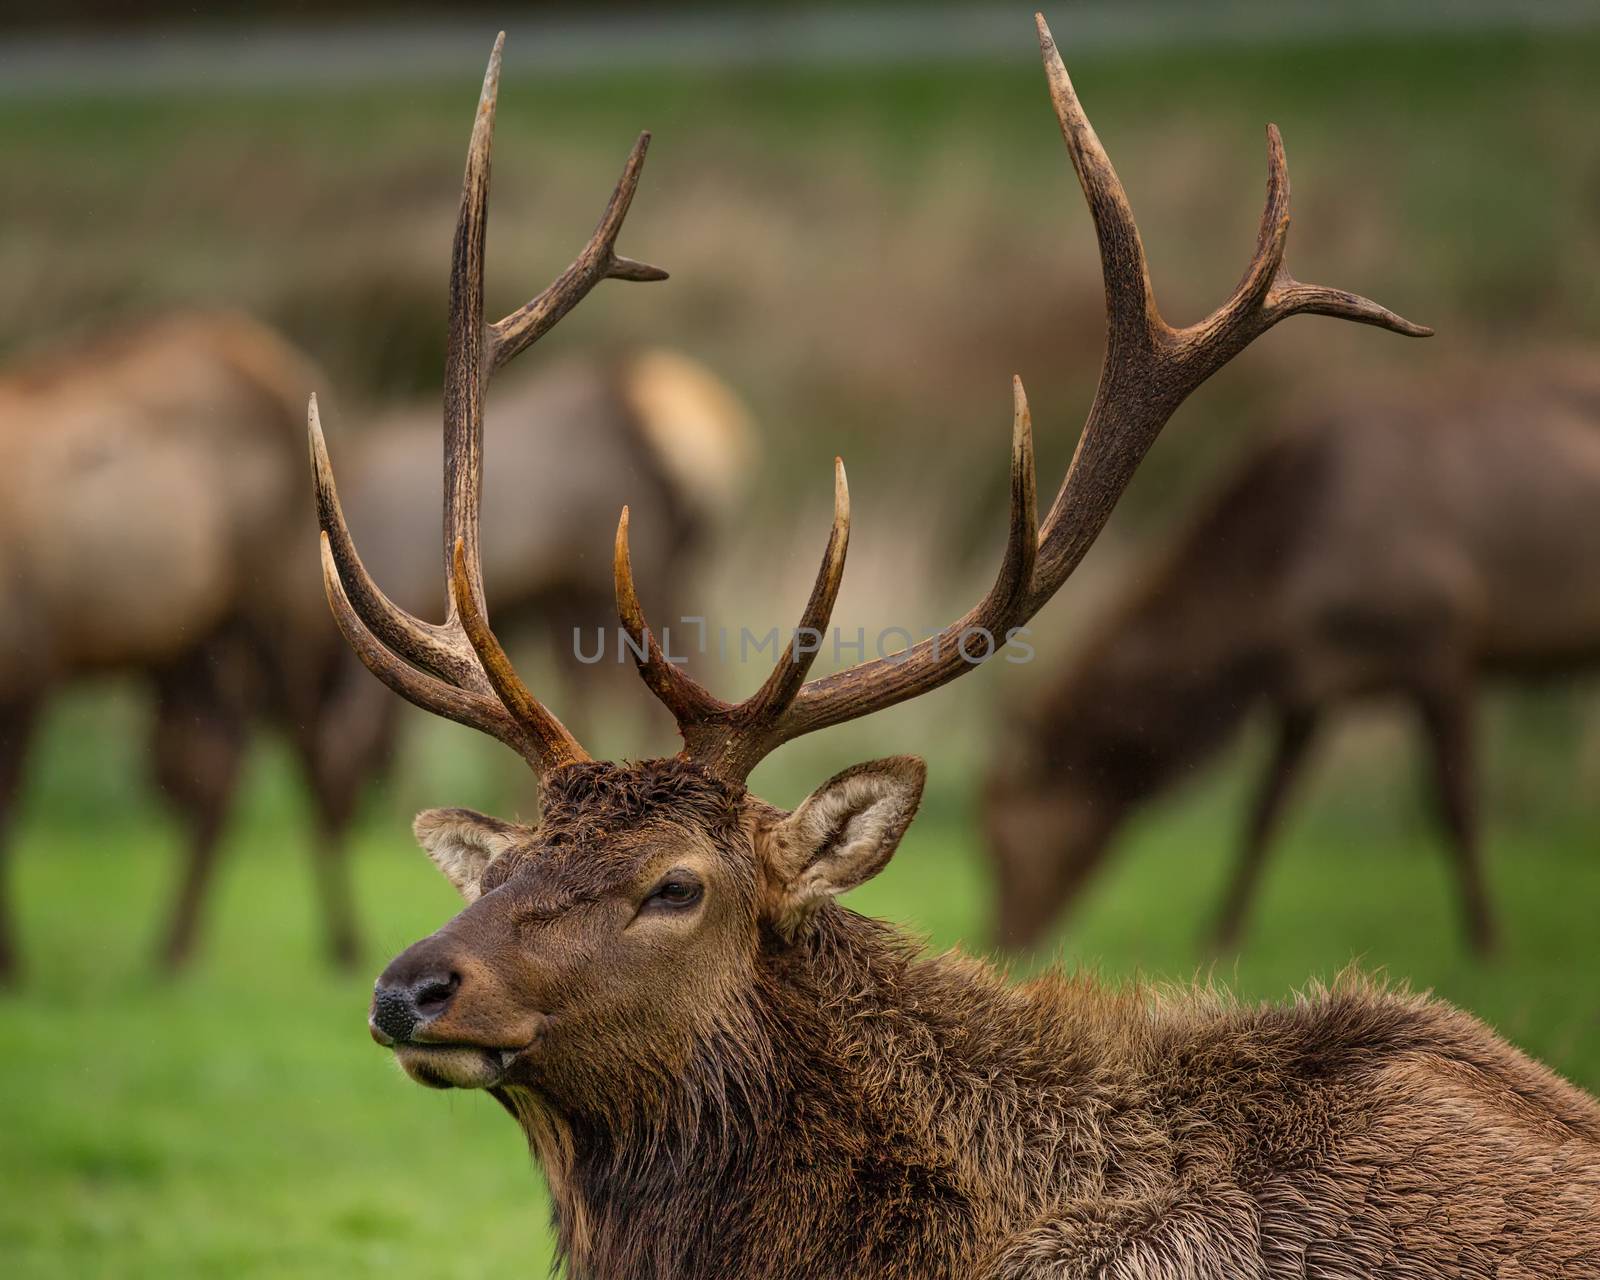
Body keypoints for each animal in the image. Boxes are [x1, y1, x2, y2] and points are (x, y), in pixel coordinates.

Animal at [985, 355, 1600, 953]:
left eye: (997, 837)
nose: (1003, 937)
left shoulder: (1444, 643)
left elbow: (1457, 802)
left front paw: (1487, 937)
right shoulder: (1308, 686)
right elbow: (1264, 811)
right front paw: (1219, 936)